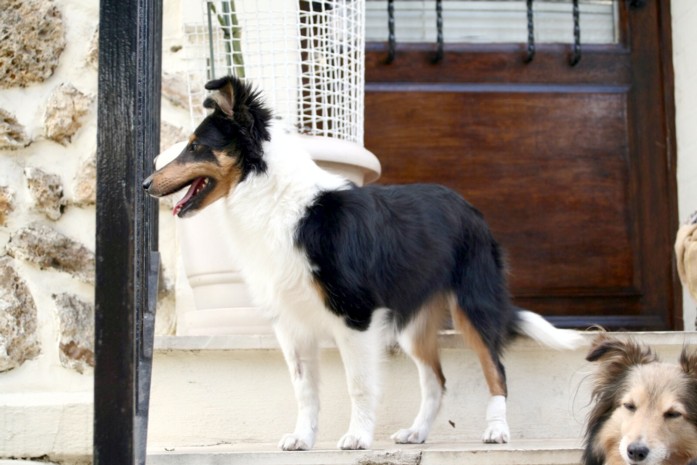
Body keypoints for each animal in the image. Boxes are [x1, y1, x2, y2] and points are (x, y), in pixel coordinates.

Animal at [144, 75, 584, 450]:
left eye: (196, 146)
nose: (145, 184)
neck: (275, 197)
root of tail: (468, 207)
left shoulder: (355, 317)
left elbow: (359, 384)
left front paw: (357, 437)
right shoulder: (291, 324)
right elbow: (304, 389)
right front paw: (302, 438)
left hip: (472, 305)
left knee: (496, 371)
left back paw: (497, 431)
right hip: (412, 324)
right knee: (436, 381)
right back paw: (417, 433)